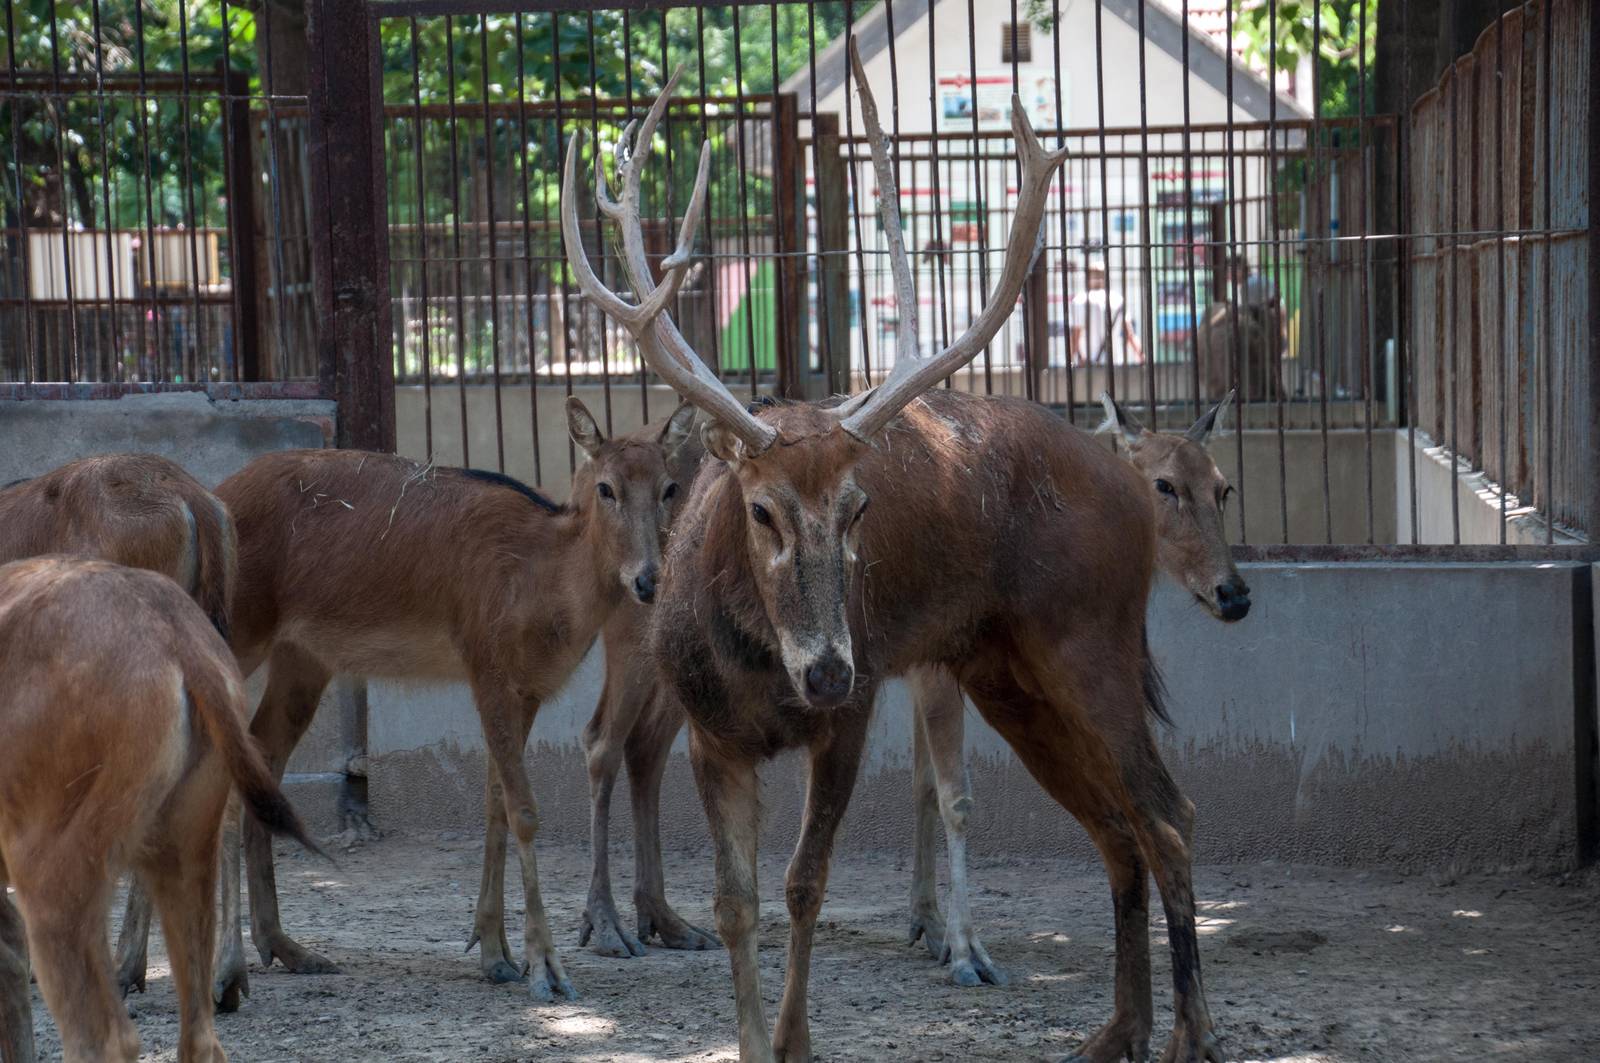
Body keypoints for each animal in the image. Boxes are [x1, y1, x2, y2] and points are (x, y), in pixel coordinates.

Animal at [175, 397, 696, 1004]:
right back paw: (224, 973)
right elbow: (523, 810)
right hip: (238, 631)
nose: (648, 581)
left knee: (263, 760)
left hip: (302, 656)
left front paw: (495, 954)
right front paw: (546, 968)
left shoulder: (527, 689)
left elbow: (494, 803)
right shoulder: (486, 665)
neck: (546, 591)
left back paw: (285, 949)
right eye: (606, 487)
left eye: (669, 487)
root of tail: (209, 501)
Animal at [562, 45, 1224, 1063]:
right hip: (1009, 674)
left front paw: (795, 1039)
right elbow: (734, 903)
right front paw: (752, 1040)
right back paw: (1117, 1030)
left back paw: (1190, 1035)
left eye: (859, 506)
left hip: (1094, 637)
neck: (760, 668)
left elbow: (804, 883)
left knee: (1170, 813)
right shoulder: (714, 734)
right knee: (1117, 825)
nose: (828, 668)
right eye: (760, 508)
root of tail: (1127, 483)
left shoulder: (856, 711)